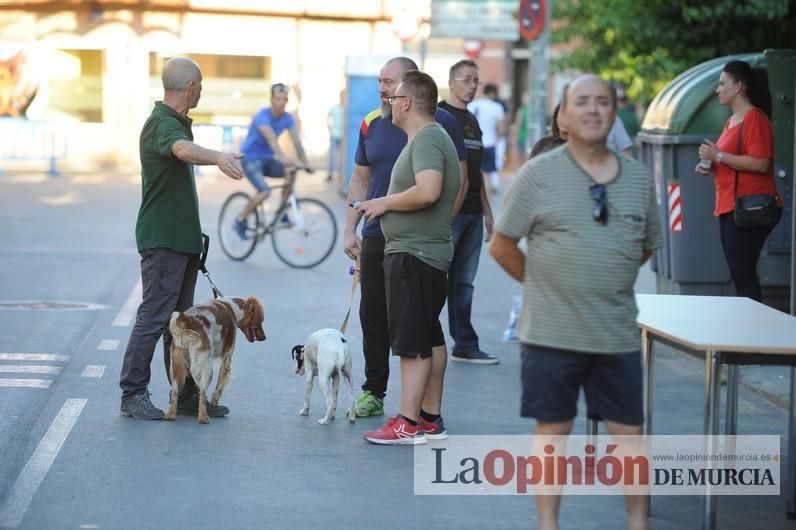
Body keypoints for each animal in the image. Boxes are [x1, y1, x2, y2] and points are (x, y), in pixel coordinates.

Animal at [164, 294, 264, 422]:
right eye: (261, 320)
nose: (264, 338)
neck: (231, 307)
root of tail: (189, 320)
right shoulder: (227, 358)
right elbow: (219, 386)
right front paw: (214, 404)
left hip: (177, 367)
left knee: (174, 393)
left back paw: (170, 416)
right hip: (206, 367)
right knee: (202, 393)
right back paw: (204, 417)